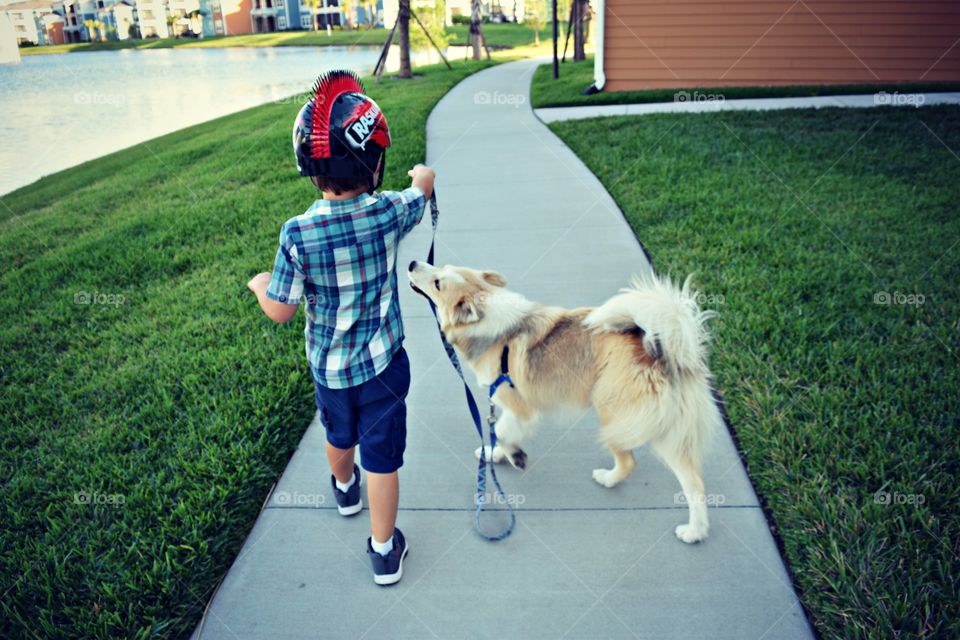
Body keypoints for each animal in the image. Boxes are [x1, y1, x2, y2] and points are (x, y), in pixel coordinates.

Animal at [404, 258, 720, 540]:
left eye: (438, 283)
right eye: (442, 268)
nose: (411, 263)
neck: (490, 322)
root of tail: (663, 350)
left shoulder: (519, 407)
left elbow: (502, 431)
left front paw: (514, 455)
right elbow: (499, 434)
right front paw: (494, 454)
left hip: (615, 414)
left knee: (634, 463)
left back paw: (615, 483)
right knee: (694, 482)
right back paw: (697, 531)